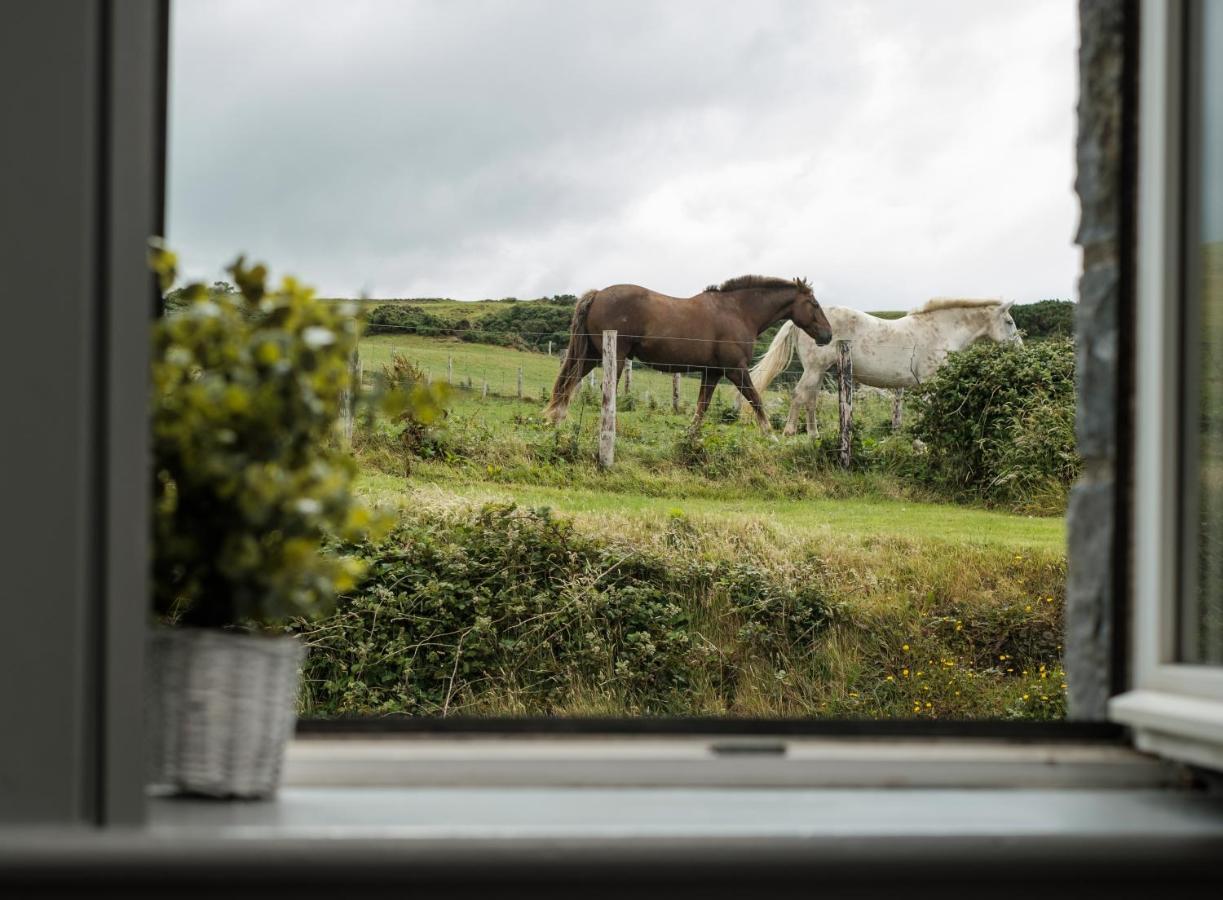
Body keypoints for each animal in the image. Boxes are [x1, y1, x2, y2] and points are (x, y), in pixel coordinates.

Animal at [545, 272, 831, 430]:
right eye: (815, 304)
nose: (828, 335)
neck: (738, 311)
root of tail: (597, 295)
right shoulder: (735, 370)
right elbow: (755, 400)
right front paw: (770, 434)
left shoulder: (712, 372)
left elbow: (701, 408)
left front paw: (690, 438)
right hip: (613, 357)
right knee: (604, 392)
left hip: (591, 356)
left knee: (568, 383)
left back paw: (557, 419)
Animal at [748, 298, 1027, 435]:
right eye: (1010, 322)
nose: (1020, 349)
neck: (940, 331)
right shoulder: (929, 384)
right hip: (814, 370)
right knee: (799, 395)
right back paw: (789, 432)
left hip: (817, 371)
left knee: (810, 398)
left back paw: (814, 434)